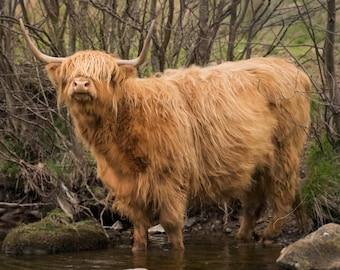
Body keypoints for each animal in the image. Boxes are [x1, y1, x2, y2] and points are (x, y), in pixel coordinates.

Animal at [19, 19, 310, 251]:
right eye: (70, 72)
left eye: (107, 74)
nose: (81, 84)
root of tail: (290, 68)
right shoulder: (128, 185)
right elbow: (139, 227)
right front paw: (138, 249)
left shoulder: (170, 179)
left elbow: (171, 226)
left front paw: (178, 249)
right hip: (255, 162)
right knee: (254, 202)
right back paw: (242, 237)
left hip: (284, 152)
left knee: (282, 194)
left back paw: (269, 236)